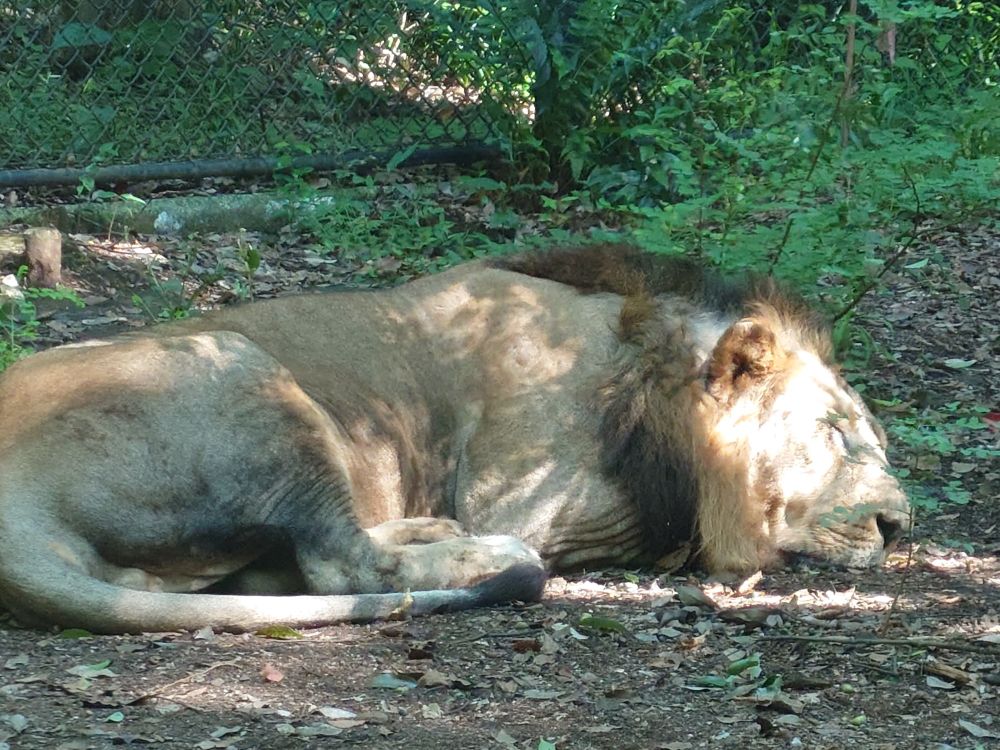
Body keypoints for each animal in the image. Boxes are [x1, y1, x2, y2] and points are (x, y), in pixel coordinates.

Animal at [0, 244, 910, 633]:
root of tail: (17, 501)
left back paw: (429, 529)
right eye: (835, 435)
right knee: (342, 564)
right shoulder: (528, 494)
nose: (900, 527)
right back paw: (480, 551)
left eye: (879, 440)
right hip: (239, 368)